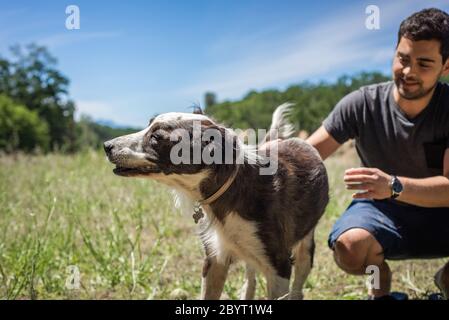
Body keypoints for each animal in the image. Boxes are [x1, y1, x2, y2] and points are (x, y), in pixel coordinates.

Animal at [105, 105, 328, 300]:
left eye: (156, 137)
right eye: (148, 126)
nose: (107, 146)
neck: (231, 191)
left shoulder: (279, 266)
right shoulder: (215, 259)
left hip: (305, 246)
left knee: (298, 283)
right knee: (251, 276)